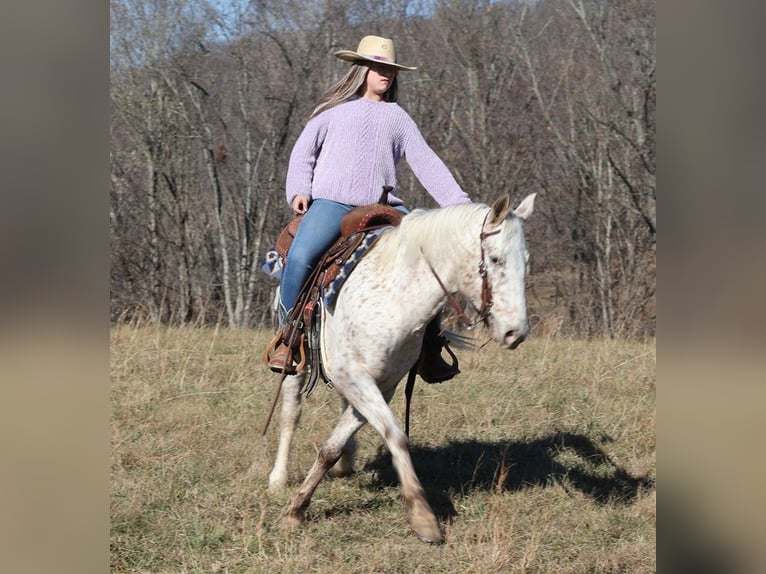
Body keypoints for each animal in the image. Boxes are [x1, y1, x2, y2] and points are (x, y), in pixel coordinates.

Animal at [268, 192, 536, 544]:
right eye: (494, 259)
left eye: (526, 261)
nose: (515, 332)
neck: (394, 294)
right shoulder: (359, 380)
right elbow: (395, 436)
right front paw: (423, 517)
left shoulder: (382, 384)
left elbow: (332, 446)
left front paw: (298, 507)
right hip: (295, 361)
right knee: (290, 413)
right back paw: (277, 476)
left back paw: (345, 462)